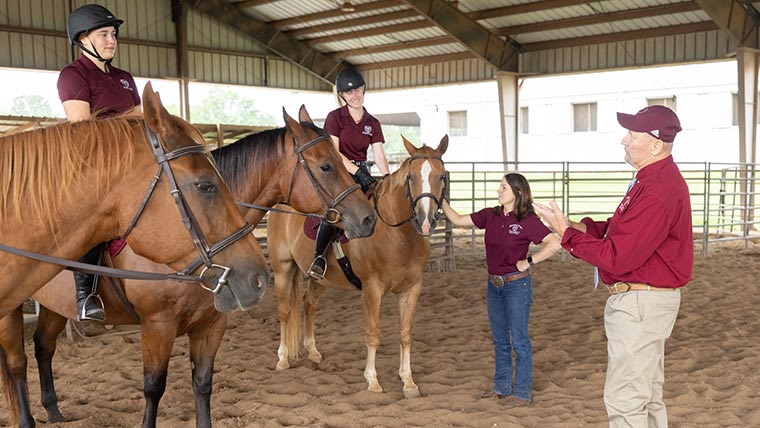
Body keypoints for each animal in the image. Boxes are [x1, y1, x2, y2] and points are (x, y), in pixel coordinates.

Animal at [1, 107, 376, 428]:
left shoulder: (212, 324)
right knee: (17, 363)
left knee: (43, 347)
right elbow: (154, 388)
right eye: (326, 166)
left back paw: (53, 409)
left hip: (52, 305)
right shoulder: (158, 324)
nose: (367, 218)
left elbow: (203, 384)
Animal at [268, 135, 448, 400]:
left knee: (308, 306)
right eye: (411, 177)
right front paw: (372, 381)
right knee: (284, 311)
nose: (425, 221)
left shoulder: (412, 289)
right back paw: (282, 359)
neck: (396, 234)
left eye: (442, 176)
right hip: (282, 269)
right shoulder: (372, 289)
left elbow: (406, 334)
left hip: (319, 279)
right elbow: (373, 334)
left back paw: (313, 352)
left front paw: (408, 381)